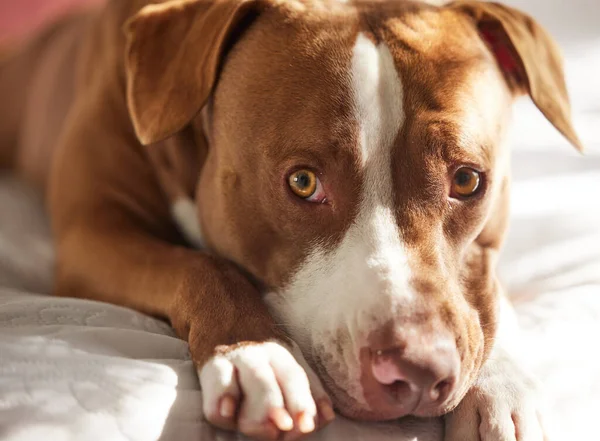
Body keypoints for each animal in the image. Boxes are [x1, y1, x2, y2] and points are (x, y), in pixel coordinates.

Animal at [0, 0, 580, 440]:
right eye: (303, 182)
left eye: (467, 181)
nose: (417, 371)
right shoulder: (93, 235)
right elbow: (204, 267)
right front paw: (259, 357)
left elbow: (487, 299)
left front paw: (502, 385)